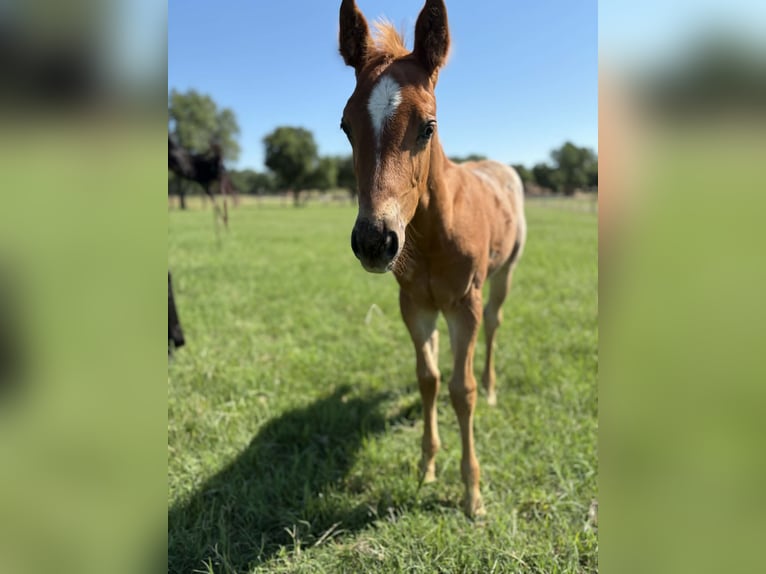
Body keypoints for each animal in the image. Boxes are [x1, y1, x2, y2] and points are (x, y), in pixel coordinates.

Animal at [338, 0, 527, 517]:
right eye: (346, 127)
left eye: (428, 126)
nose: (375, 241)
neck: (432, 232)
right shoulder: (415, 306)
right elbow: (428, 379)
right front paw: (426, 467)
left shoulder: (465, 304)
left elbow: (462, 391)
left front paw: (472, 493)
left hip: (503, 275)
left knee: (495, 327)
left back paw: (493, 387)